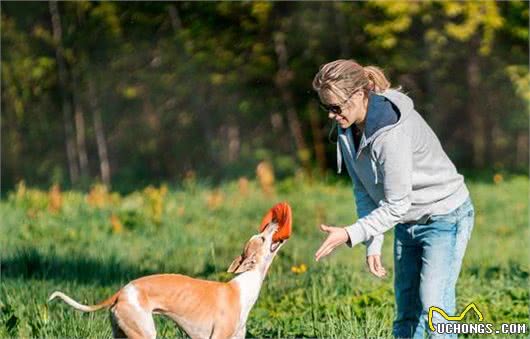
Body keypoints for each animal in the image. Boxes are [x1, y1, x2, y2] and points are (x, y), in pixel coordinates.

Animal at [48, 223, 286, 339]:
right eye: (262, 237)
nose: (274, 222)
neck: (242, 287)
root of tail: (121, 292)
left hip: (122, 333)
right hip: (144, 333)